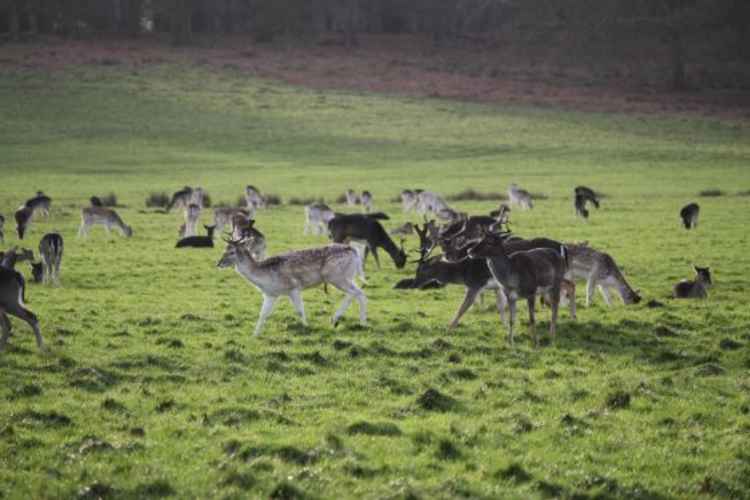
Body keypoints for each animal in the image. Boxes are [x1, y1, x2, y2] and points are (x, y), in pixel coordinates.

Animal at [216, 239, 368, 336]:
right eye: (224, 249)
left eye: (232, 252)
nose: (219, 263)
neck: (264, 277)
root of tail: (354, 251)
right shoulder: (270, 294)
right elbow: (263, 313)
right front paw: (255, 334)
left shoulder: (294, 287)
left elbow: (300, 310)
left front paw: (307, 327)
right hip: (347, 277)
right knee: (360, 293)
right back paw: (355, 321)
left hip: (336, 277)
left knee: (356, 293)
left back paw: (342, 319)